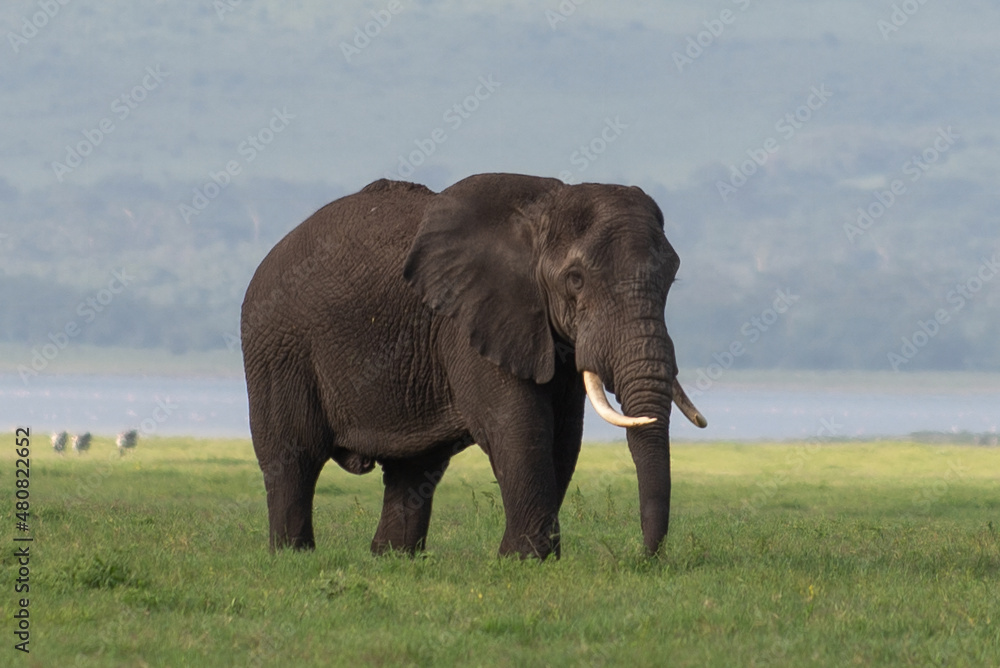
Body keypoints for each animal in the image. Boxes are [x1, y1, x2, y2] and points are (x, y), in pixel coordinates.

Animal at [241, 173, 706, 559]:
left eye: (671, 279)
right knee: (292, 456)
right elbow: (518, 425)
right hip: (277, 346)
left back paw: (393, 558)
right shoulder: (468, 320)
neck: (545, 206)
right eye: (575, 280)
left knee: (414, 468)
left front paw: (535, 559)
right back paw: (294, 555)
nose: (643, 557)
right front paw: (524, 561)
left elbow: (564, 435)